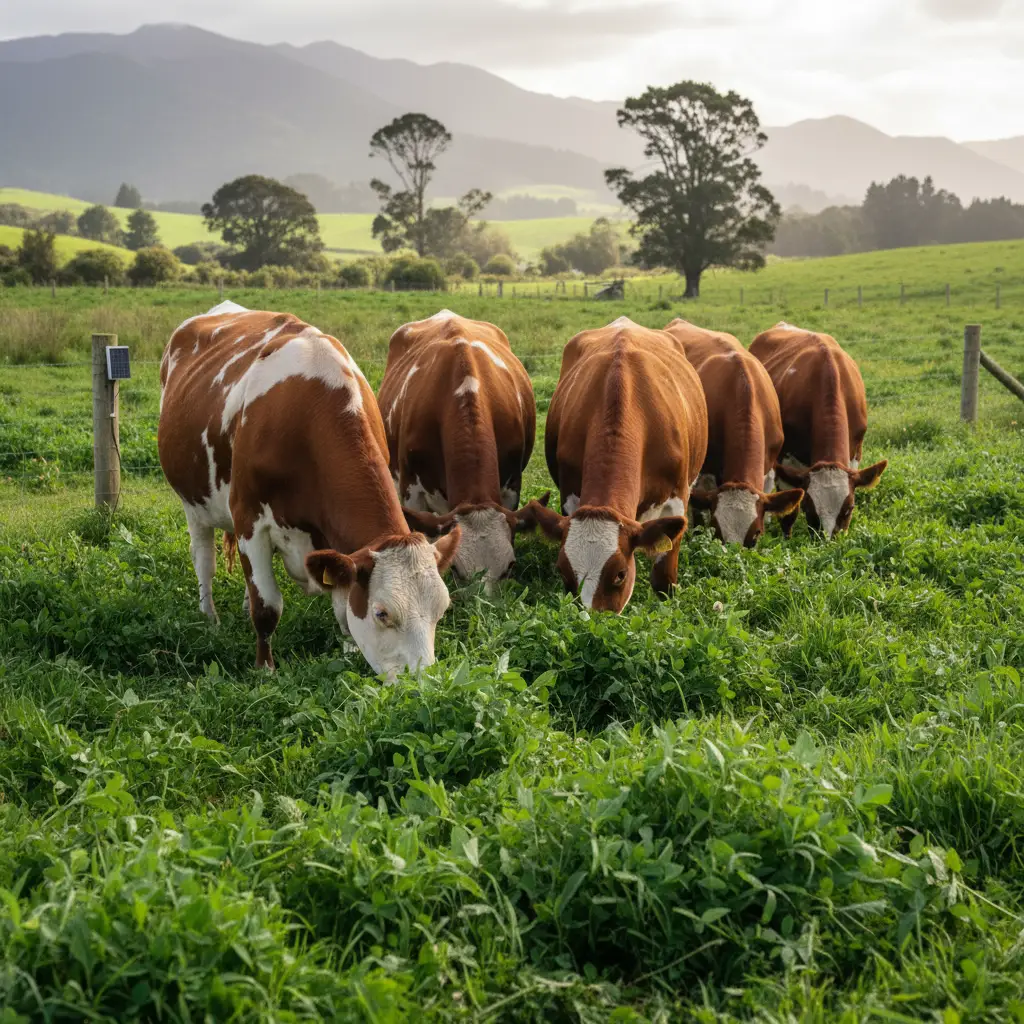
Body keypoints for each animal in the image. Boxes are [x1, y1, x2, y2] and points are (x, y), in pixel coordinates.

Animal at [158, 301, 461, 676]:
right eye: (382, 613)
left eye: (442, 610)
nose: (424, 681)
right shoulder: (249, 520)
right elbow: (267, 607)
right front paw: (265, 669)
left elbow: (342, 609)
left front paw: (349, 652)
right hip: (194, 503)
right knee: (204, 559)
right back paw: (209, 617)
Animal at [527, 317, 708, 613]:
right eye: (563, 571)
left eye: (620, 574)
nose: (591, 619)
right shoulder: (570, 496)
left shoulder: (676, 498)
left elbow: (663, 578)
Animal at [749, 322, 887, 539]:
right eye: (809, 509)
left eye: (849, 509)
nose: (828, 542)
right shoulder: (787, 459)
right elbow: (789, 512)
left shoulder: (855, 451)